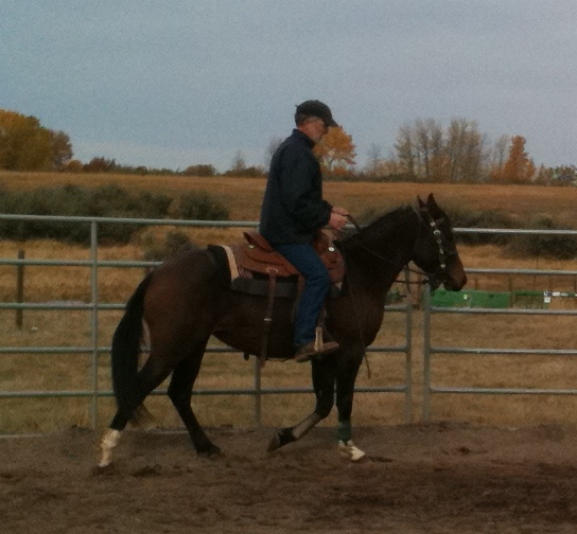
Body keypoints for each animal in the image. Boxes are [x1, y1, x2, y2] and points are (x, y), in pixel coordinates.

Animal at [99, 197, 466, 468]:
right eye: (446, 234)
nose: (459, 279)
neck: (359, 273)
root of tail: (158, 273)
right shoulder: (350, 351)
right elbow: (343, 400)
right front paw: (350, 447)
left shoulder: (323, 354)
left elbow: (323, 403)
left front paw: (283, 437)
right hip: (171, 347)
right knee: (139, 388)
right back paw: (107, 448)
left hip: (194, 345)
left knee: (179, 393)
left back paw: (206, 447)